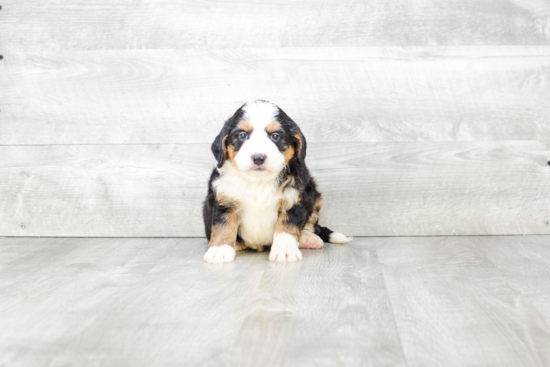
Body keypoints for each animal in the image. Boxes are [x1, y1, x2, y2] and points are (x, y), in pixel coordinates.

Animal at [203, 100, 350, 264]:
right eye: (242, 135)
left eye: (275, 136)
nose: (258, 157)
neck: (259, 182)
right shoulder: (225, 199)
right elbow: (223, 226)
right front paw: (219, 250)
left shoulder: (294, 199)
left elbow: (287, 227)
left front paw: (285, 251)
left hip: (315, 196)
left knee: (310, 223)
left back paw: (308, 239)